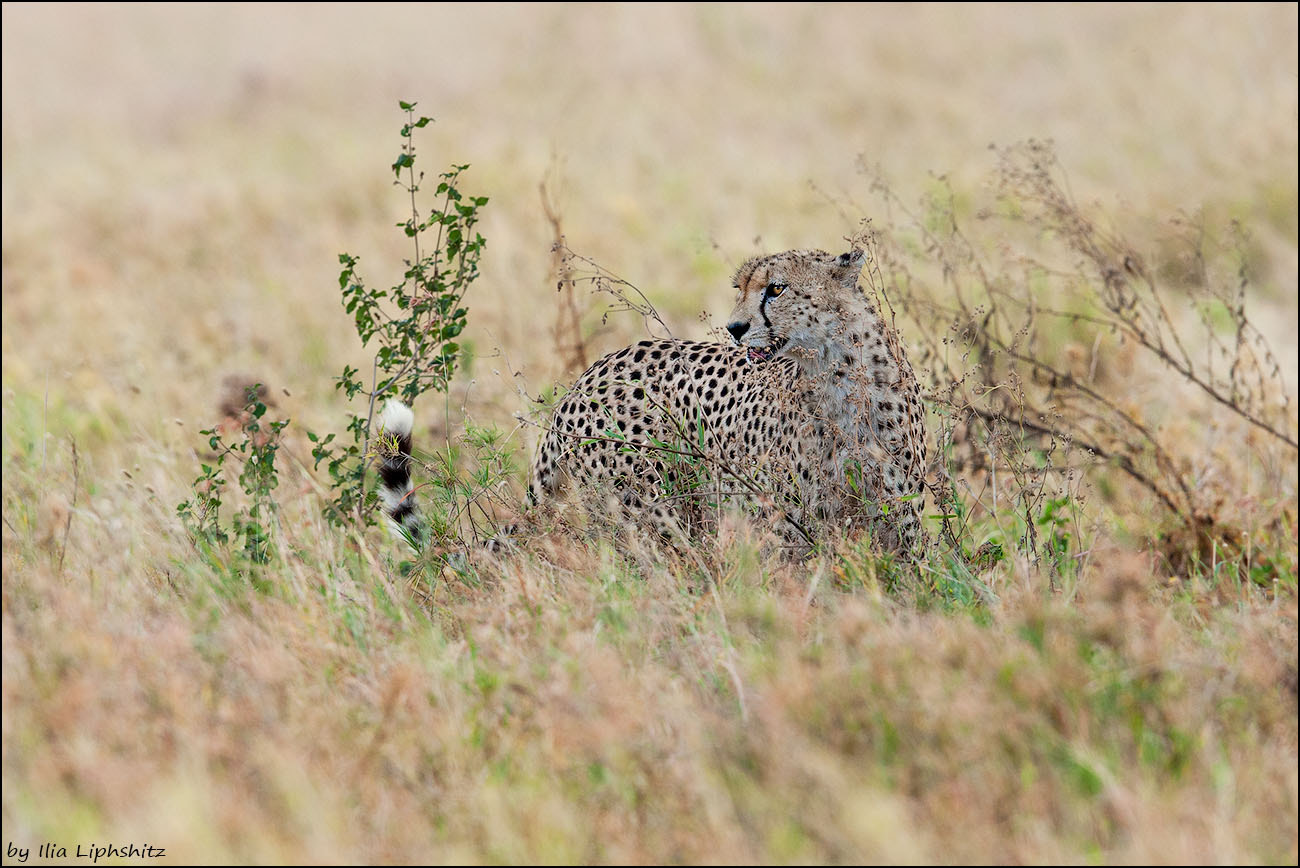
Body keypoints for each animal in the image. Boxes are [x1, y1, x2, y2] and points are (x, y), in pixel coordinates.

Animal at [522, 246, 930, 553]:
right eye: (740, 288)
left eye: (776, 289)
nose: (735, 328)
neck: (838, 373)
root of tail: (586, 377)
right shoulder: (788, 523)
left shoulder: (899, 523)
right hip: (647, 508)